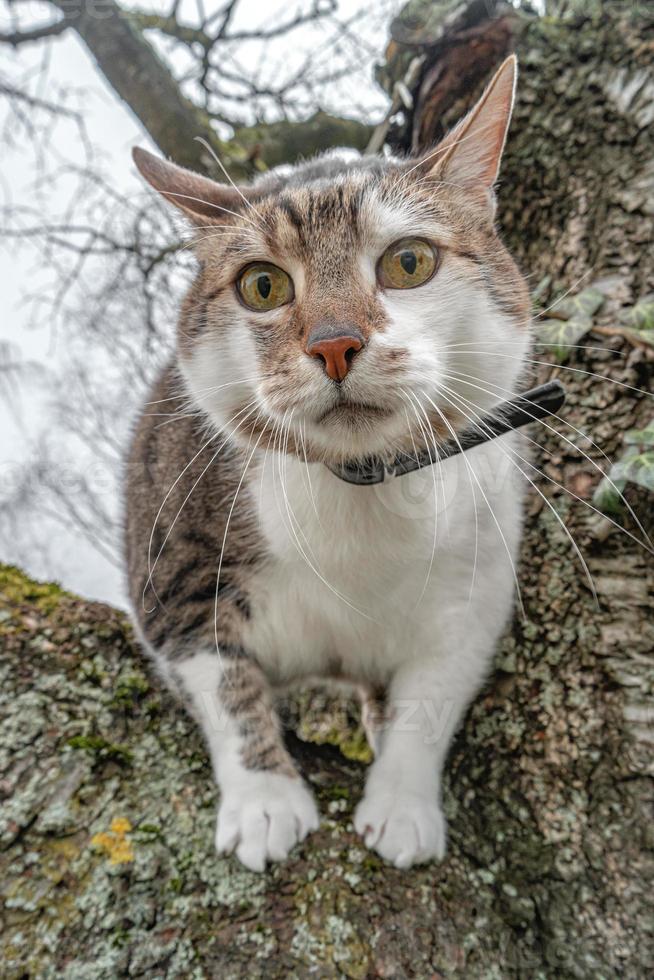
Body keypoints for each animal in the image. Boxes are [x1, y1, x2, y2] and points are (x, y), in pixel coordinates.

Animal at [127, 59, 532, 872]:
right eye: (262, 284)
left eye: (409, 262)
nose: (335, 344)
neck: (363, 486)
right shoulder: (171, 558)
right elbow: (223, 682)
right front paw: (264, 802)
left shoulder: (473, 586)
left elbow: (431, 702)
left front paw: (402, 806)